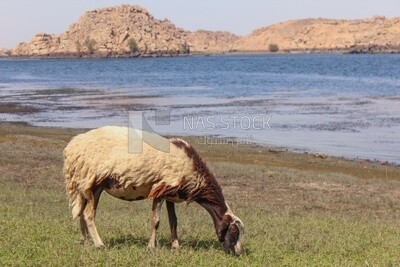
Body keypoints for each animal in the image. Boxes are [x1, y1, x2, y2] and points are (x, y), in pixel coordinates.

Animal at [63, 126, 244, 256]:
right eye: (234, 232)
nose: (239, 253)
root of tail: (73, 147)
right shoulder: (160, 189)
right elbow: (156, 221)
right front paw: (151, 247)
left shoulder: (171, 194)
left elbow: (174, 221)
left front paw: (176, 246)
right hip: (95, 182)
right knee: (88, 214)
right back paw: (99, 244)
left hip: (84, 184)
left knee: (81, 214)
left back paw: (86, 242)